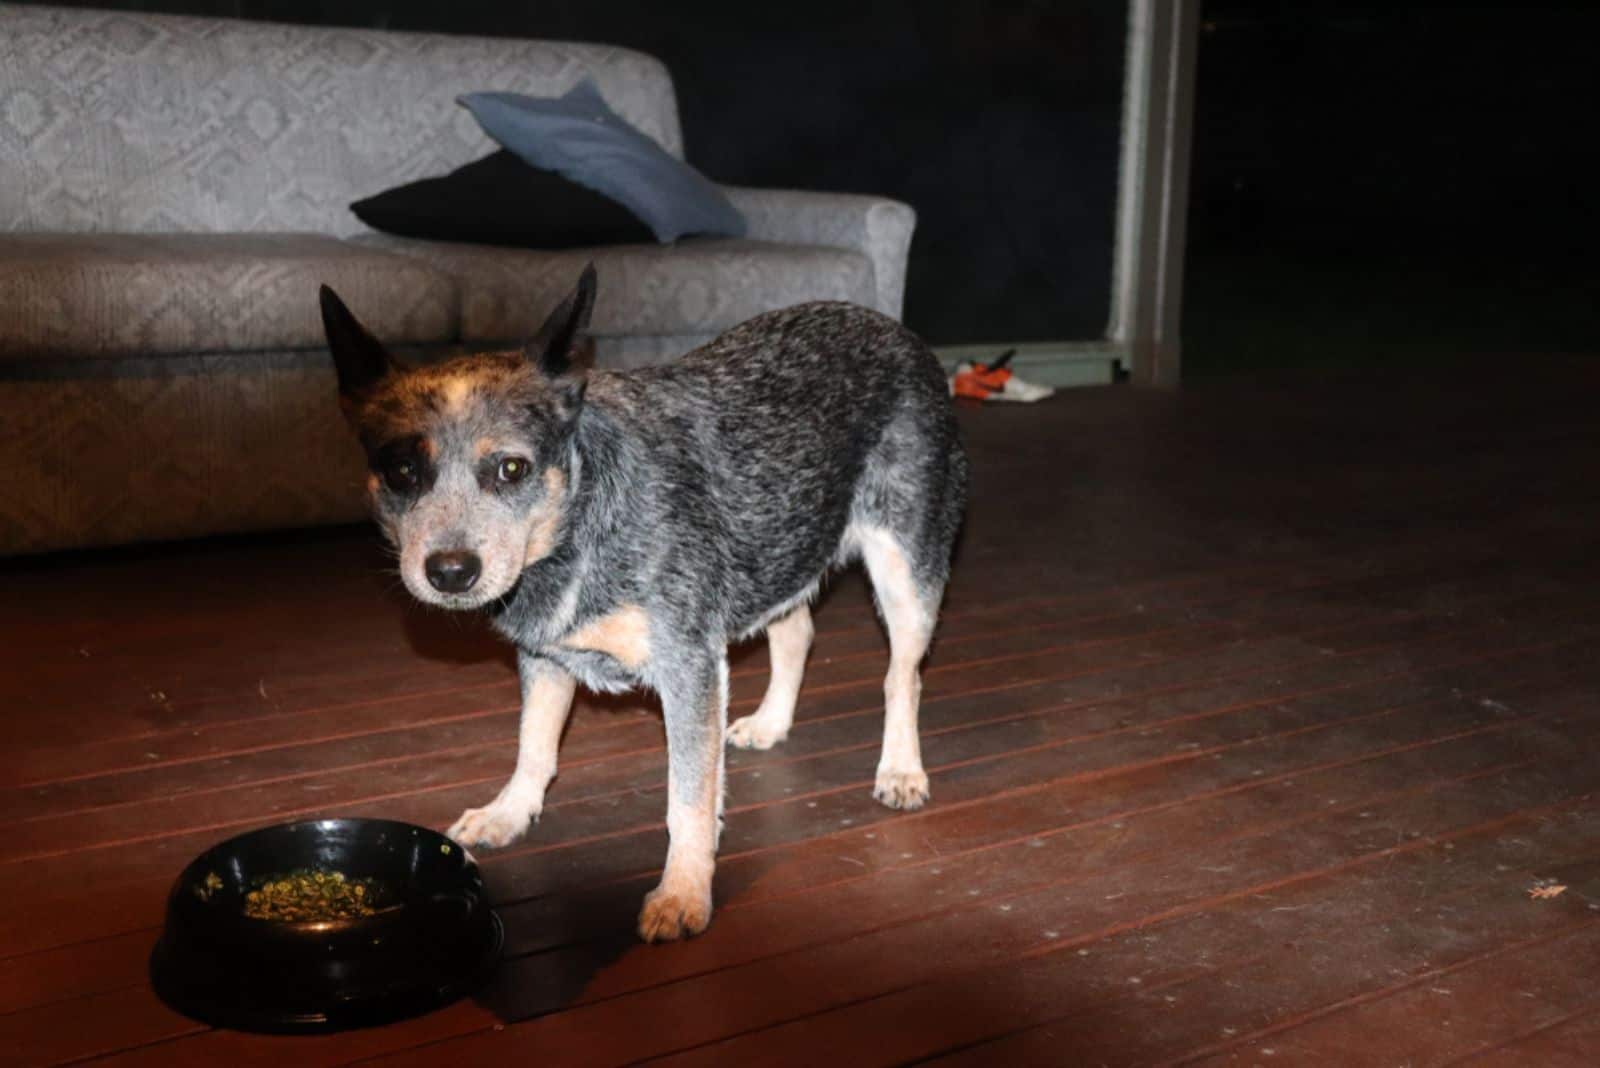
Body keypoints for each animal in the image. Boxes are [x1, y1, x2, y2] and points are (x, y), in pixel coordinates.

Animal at [313, 268, 960, 940]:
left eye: (511, 468)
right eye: (402, 471)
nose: (449, 571)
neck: (579, 525)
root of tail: (897, 329)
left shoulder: (688, 665)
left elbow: (689, 798)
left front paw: (683, 891)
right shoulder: (545, 657)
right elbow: (534, 746)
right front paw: (509, 812)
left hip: (905, 567)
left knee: (902, 674)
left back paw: (901, 768)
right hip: (782, 540)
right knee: (796, 630)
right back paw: (771, 722)